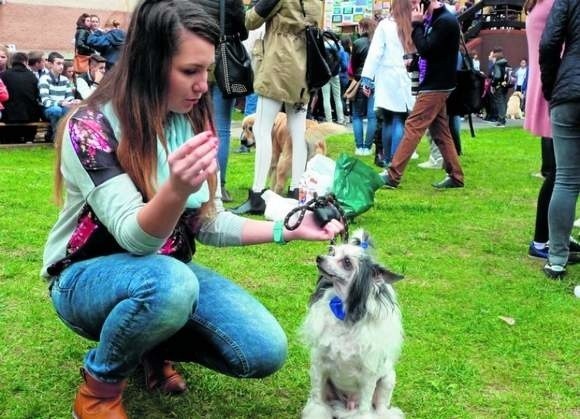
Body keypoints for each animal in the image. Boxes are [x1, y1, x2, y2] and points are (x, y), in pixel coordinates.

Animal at [304, 231, 404, 418]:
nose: (320, 258)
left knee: (380, 408)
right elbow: (317, 403)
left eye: (347, 262)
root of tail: (347, 406)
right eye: (332, 252)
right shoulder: (319, 366)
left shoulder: (368, 376)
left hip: (387, 379)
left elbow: (364, 409)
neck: (344, 316)